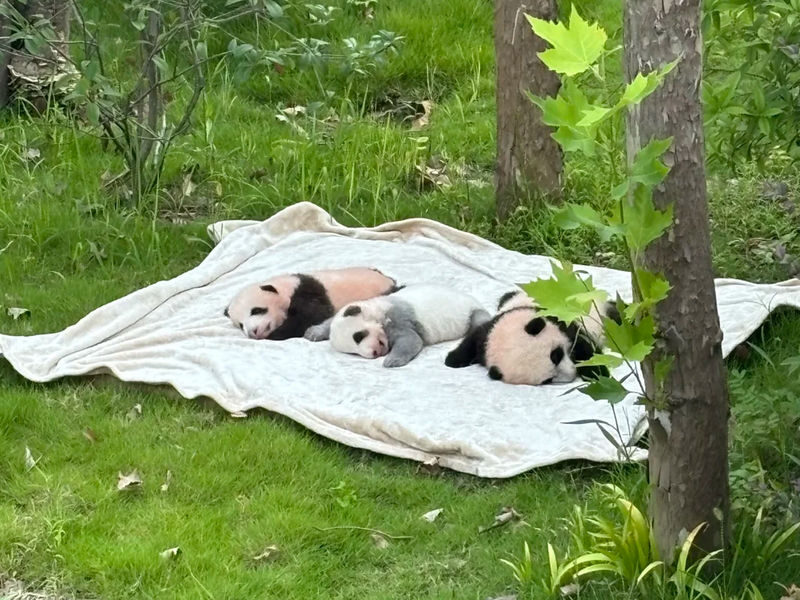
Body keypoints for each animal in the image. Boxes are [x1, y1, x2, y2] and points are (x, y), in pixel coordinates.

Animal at [224, 267, 399, 340]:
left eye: (256, 310)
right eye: (240, 325)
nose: (253, 332)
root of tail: (389, 280)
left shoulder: (306, 292)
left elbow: (310, 316)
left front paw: (276, 334)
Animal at [304, 284, 491, 368]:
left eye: (358, 336)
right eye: (352, 352)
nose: (374, 353)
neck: (377, 310)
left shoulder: (398, 317)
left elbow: (411, 340)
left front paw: (392, 360)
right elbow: (330, 321)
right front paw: (313, 332)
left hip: (472, 312)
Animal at [444, 290, 621, 385]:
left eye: (556, 355)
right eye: (547, 380)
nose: (572, 374)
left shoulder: (560, 320)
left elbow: (585, 348)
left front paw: (599, 373)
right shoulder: (490, 330)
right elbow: (473, 339)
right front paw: (453, 360)